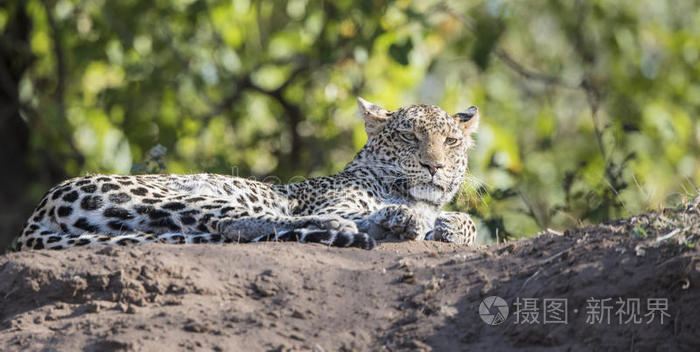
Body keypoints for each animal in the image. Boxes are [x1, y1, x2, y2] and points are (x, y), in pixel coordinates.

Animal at [13, 97, 482, 252]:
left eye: (451, 142)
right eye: (408, 135)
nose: (434, 166)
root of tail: (33, 218)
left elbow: (468, 224)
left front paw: (451, 226)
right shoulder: (334, 200)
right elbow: (361, 209)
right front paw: (404, 218)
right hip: (178, 194)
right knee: (238, 223)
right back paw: (356, 230)